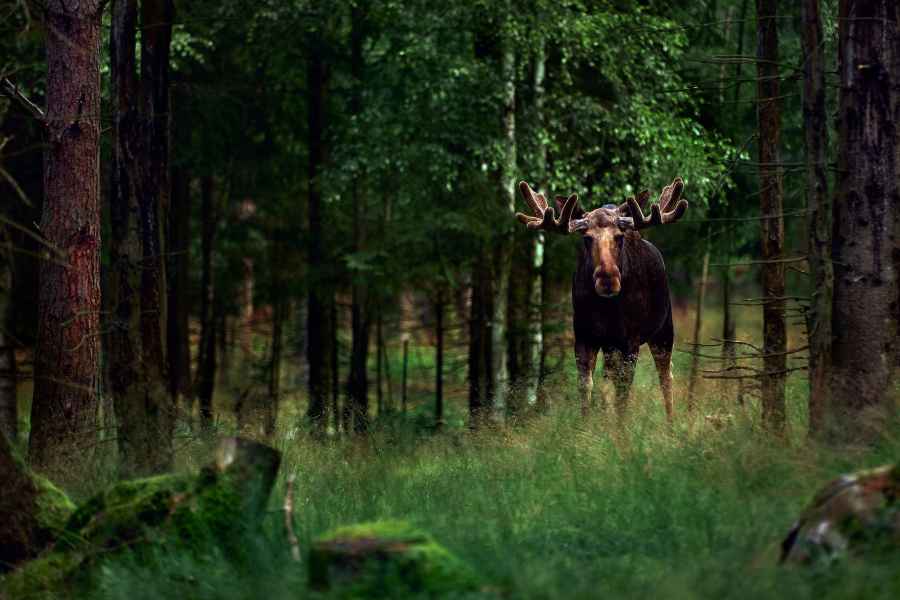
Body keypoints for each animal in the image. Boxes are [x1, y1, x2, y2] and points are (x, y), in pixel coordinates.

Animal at [516, 178, 688, 422]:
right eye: (587, 238)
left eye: (619, 236)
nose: (608, 279)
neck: (607, 309)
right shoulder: (584, 337)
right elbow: (586, 387)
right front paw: (587, 425)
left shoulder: (630, 341)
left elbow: (623, 393)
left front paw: (620, 430)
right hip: (610, 345)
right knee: (608, 380)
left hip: (664, 329)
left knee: (666, 376)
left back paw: (671, 423)